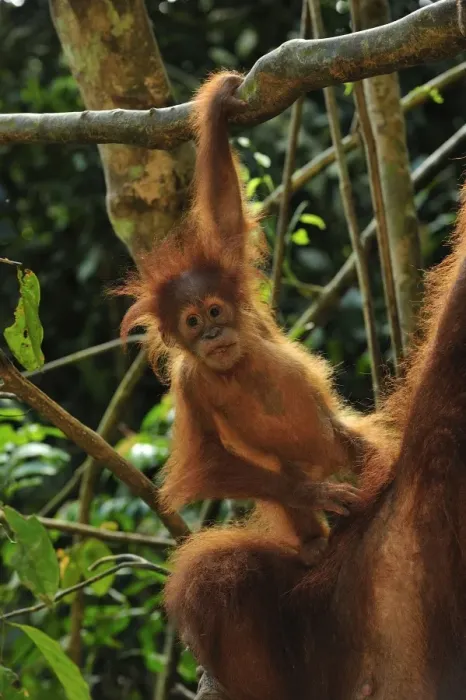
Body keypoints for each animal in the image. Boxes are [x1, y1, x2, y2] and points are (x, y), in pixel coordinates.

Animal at [117, 71, 389, 564]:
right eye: (191, 323)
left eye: (214, 310)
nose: (213, 333)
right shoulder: (188, 384)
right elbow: (206, 460)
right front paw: (312, 495)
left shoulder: (239, 290)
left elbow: (225, 212)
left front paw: (219, 101)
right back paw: (314, 541)